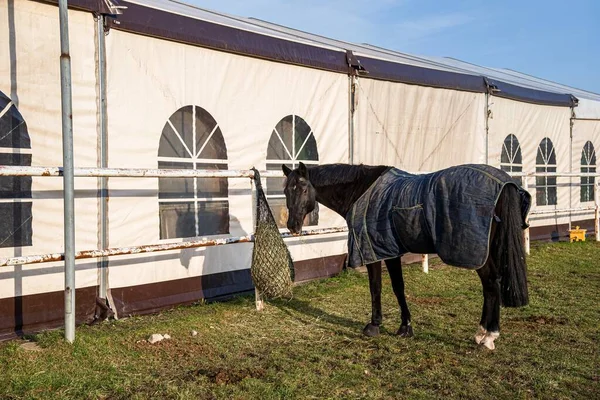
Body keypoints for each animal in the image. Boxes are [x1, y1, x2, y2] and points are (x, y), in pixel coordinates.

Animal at [282, 162, 528, 350]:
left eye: (303, 189)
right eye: (286, 191)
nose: (292, 225)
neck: (361, 190)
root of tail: (505, 184)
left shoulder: (375, 250)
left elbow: (378, 287)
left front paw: (374, 325)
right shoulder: (390, 250)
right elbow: (398, 287)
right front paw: (405, 327)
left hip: (477, 253)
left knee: (491, 284)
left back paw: (489, 336)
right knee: (490, 286)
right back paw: (482, 333)